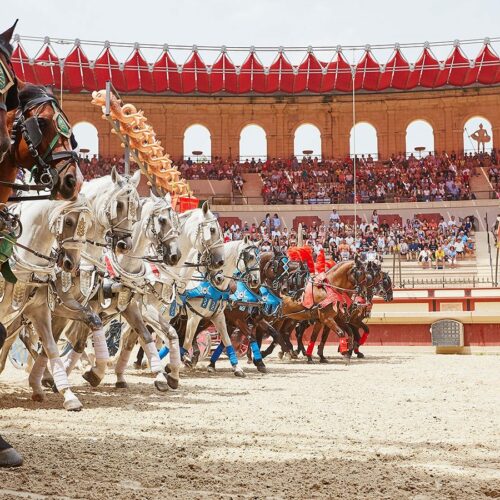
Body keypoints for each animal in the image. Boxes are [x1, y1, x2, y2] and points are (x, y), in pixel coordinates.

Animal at [0, 195, 92, 410]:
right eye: (69, 222)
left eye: (89, 224)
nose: (72, 264)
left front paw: (69, 396)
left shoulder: (39, 311)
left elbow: (51, 348)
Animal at [181, 237, 260, 376]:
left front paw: (236, 367)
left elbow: (226, 340)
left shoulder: (220, 317)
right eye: (250, 257)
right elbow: (188, 339)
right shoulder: (195, 317)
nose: (256, 281)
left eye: (258, 257)